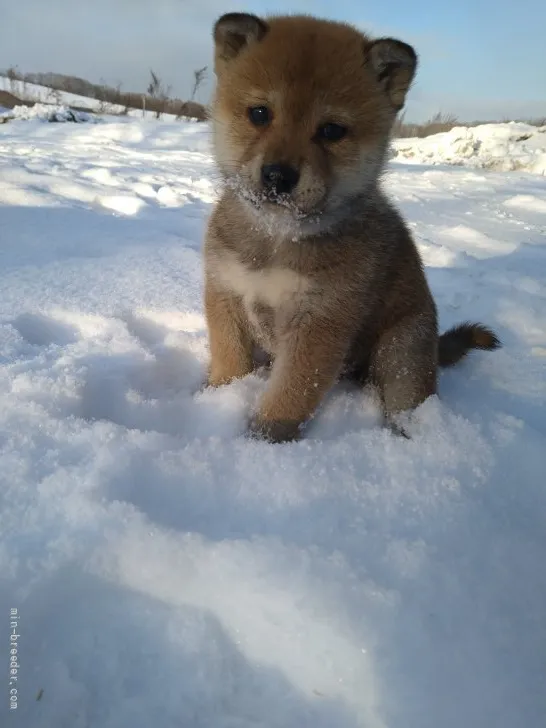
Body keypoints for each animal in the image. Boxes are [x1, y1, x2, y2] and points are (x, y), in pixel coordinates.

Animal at [203, 12, 498, 444]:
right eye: (259, 113)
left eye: (332, 130)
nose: (277, 176)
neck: (278, 237)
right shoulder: (225, 291)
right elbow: (230, 362)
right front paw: (216, 402)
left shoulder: (321, 322)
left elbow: (290, 393)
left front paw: (264, 441)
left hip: (402, 350)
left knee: (407, 400)